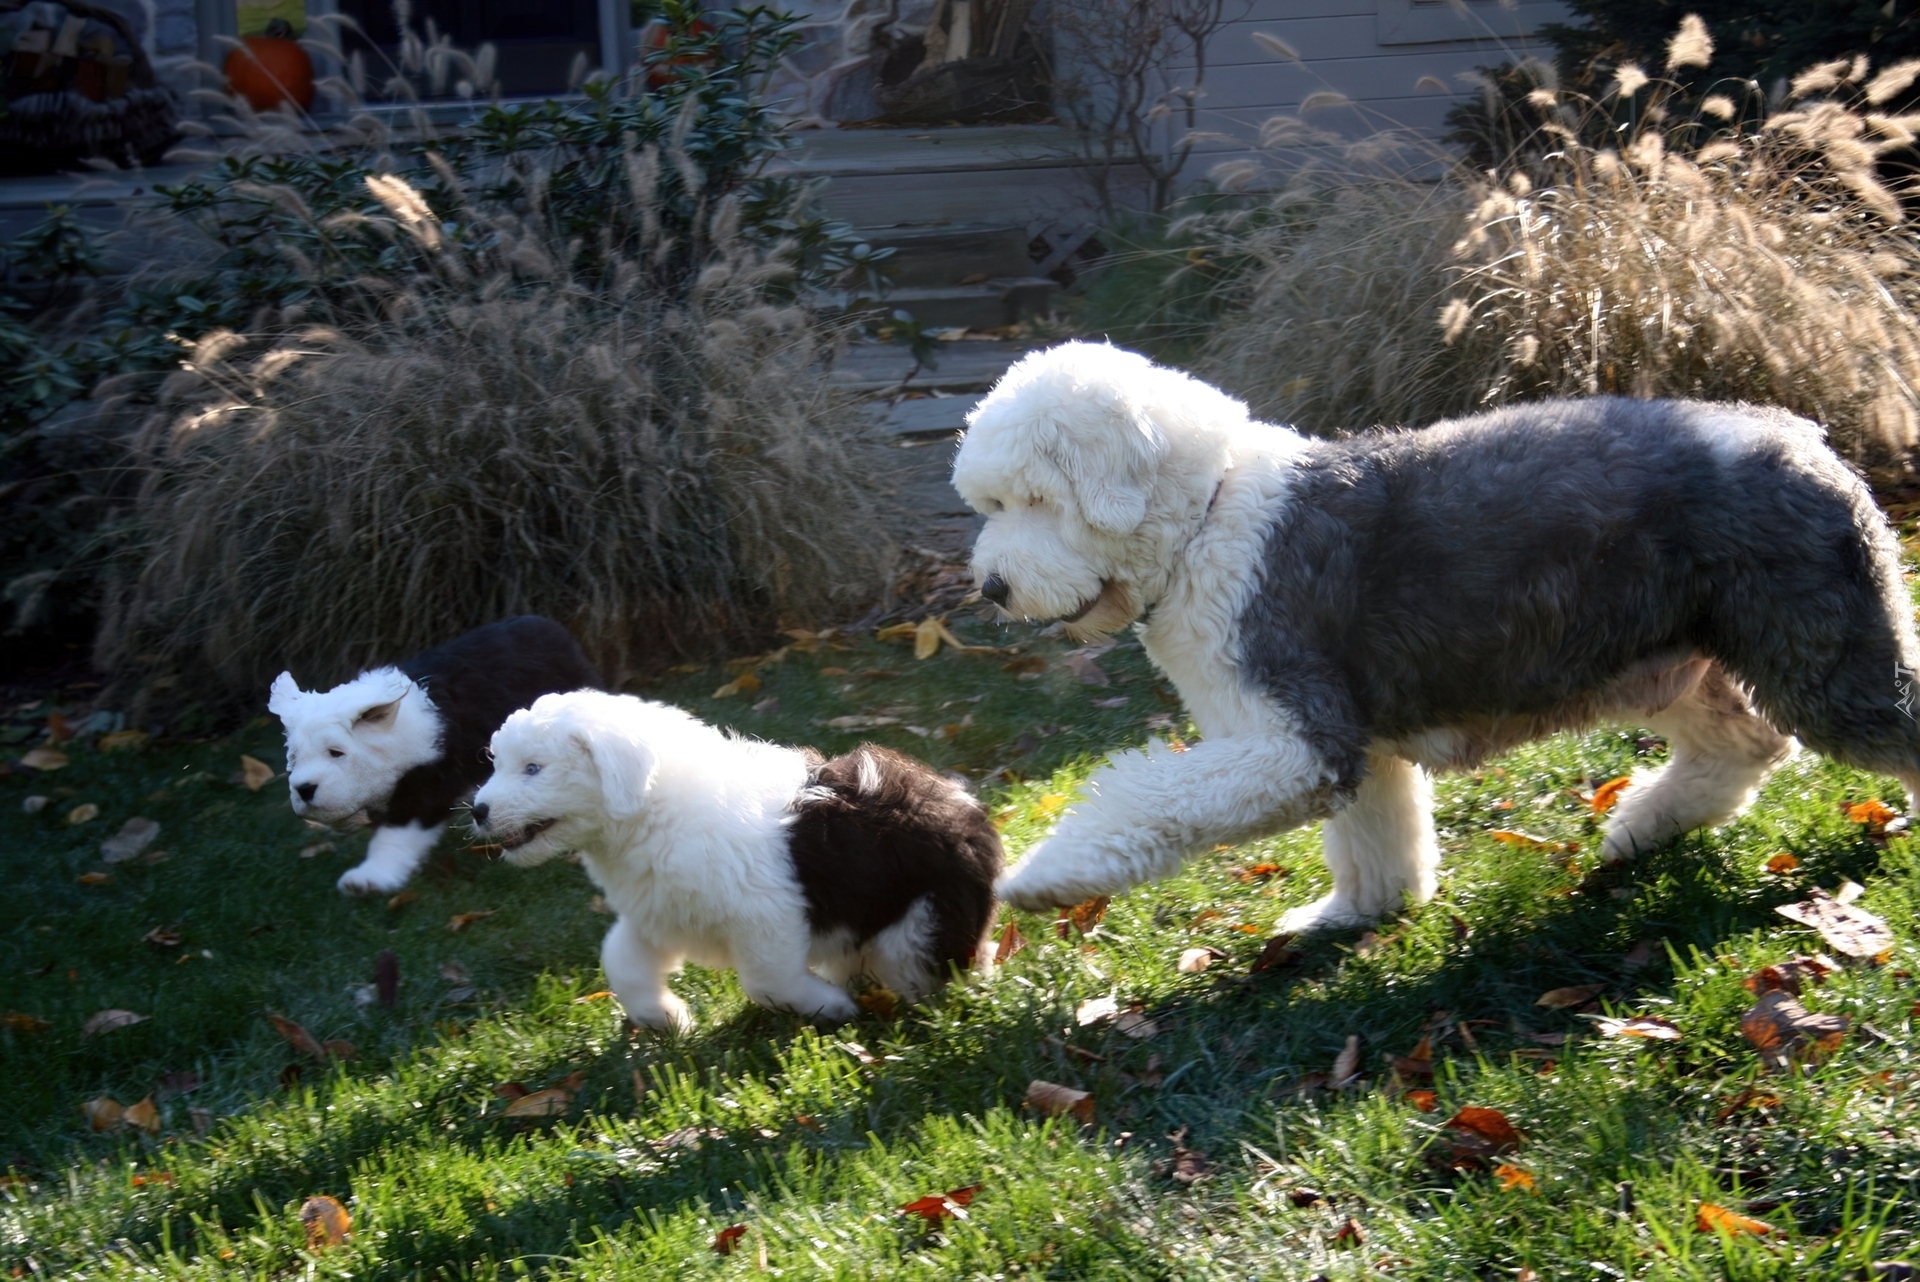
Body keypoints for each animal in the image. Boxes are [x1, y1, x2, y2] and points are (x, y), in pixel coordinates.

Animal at [270, 614, 599, 898]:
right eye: (294, 759)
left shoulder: (429, 779)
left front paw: (370, 878)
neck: (396, 730)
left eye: (336, 752)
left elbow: (397, 833)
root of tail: (550, 625)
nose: (304, 789)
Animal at [470, 690, 998, 1028]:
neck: (655, 811)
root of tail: (970, 811)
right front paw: (665, 1017)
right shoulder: (660, 911)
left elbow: (768, 980)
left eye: (534, 768)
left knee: (925, 965)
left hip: (924, 918)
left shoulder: (767, 916)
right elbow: (620, 958)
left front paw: (828, 1007)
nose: (477, 811)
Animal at [960, 343, 1920, 932]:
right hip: (1662, 660)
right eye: (989, 504)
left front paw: (1039, 879)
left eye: (1034, 498)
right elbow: (1376, 836)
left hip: (1823, 659)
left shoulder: (1294, 738)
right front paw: (1352, 917)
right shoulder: (1353, 739)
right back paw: (1641, 827)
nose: (991, 586)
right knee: (1743, 744)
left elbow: (1144, 799)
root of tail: (1803, 435)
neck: (1209, 514)